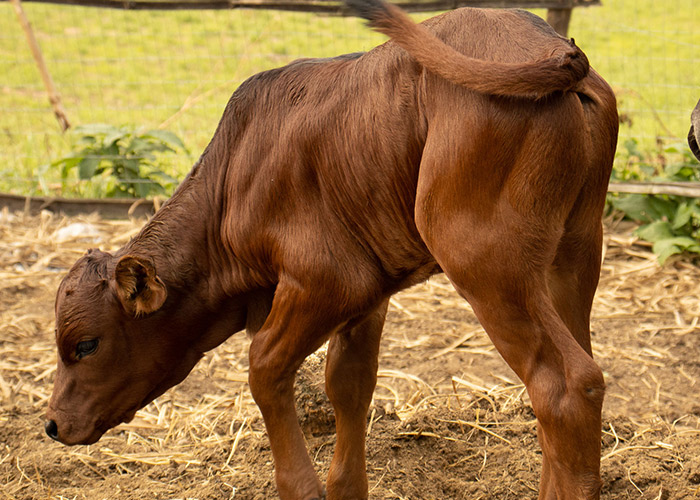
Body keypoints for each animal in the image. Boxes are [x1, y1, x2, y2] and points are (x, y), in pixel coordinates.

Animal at [45, 0, 618, 498]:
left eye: (86, 344)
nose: (51, 424)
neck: (236, 178)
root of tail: (546, 44)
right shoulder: (368, 297)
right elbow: (348, 384)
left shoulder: (325, 282)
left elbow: (264, 368)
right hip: (571, 256)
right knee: (575, 381)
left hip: (484, 263)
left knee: (566, 387)